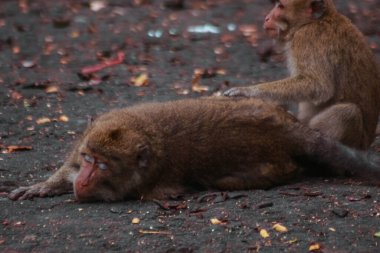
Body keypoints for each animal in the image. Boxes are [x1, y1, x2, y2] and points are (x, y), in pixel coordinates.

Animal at [226, 0, 380, 149]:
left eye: (280, 6)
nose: (266, 18)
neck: (315, 21)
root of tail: (366, 144)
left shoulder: (307, 38)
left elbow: (319, 86)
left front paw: (248, 91)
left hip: (356, 141)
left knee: (348, 112)